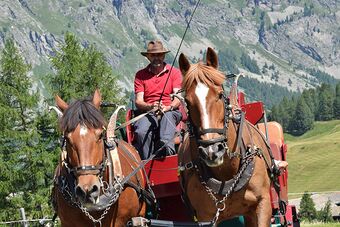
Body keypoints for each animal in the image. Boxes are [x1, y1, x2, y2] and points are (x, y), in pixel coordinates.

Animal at [178, 48, 274, 226]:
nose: (211, 150)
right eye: (187, 101)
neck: (227, 173)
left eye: (220, 94)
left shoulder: (262, 204)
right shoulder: (206, 216)